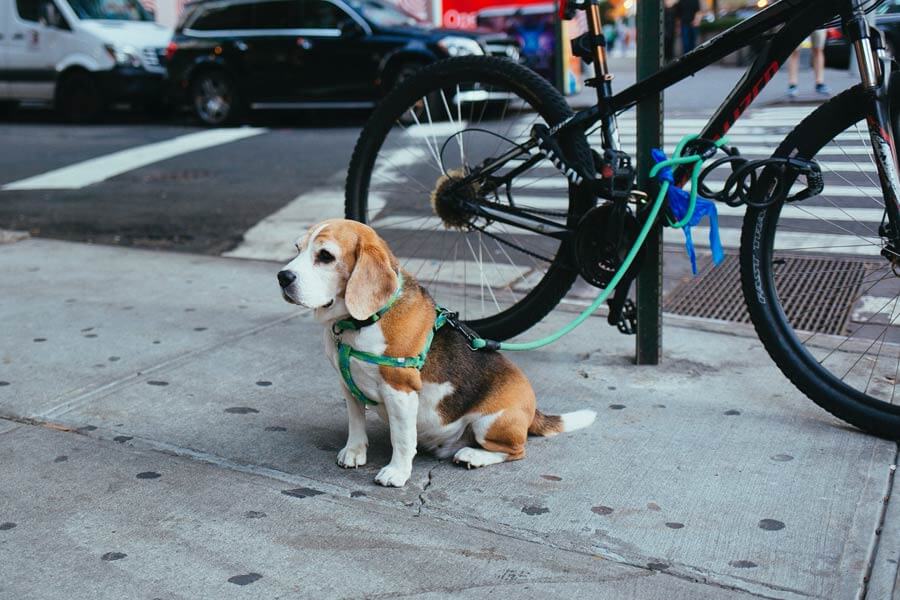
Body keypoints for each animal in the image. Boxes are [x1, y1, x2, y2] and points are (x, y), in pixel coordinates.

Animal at [278, 220, 596, 488]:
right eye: (297, 248)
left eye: (326, 256)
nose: (283, 277)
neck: (359, 323)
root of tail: (533, 408)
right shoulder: (348, 384)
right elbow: (356, 423)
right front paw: (355, 451)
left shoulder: (400, 391)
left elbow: (402, 438)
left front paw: (397, 472)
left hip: (490, 422)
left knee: (517, 450)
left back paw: (473, 455)